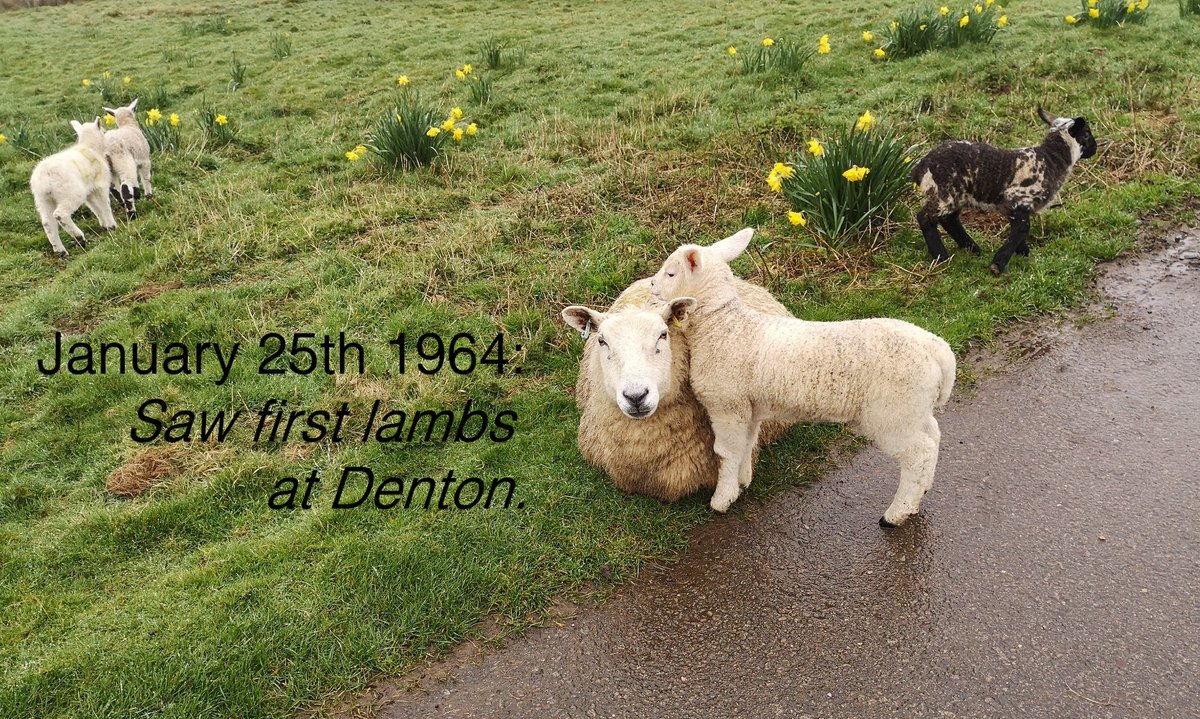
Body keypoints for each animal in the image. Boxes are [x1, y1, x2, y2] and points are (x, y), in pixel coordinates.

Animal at [29, 118, 118, 257]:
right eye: (104, 132)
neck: (90, 147)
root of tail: (44, 177)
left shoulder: (89, 191)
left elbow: (95, 208)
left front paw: (104, 225)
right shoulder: (100, 185)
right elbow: (104, 205)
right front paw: (112, 226)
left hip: (43, 199)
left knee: (48, 223)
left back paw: (61, 251)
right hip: (70, 192)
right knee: (60, 214)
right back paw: (79, 237)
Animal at [649, 228, 956, 526]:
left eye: (671, 273)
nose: (651, 285)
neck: (721, 325)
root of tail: (938, 350)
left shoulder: (726, 405)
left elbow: (727, 452)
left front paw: (722, 498)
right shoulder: (749, 407)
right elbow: (747, 444)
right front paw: (743, 481)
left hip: (893, 412)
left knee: (919, 454)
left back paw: (896, 514)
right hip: (914, 407)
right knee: (933, 437)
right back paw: (923, 490)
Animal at [911, 107, 1097, 275]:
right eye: (1086, 134)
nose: (1095, 148)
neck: (1050, 160)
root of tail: (922, 165)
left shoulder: (1012, 206)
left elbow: (1018, 229)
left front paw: (1022, 252)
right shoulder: (1018, 198)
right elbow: (1022, 229)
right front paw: (998, 264)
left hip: (956, 195)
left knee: (950, 220)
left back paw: (972, 248)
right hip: (944, 192)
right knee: (926, 218)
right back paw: (941, 256)